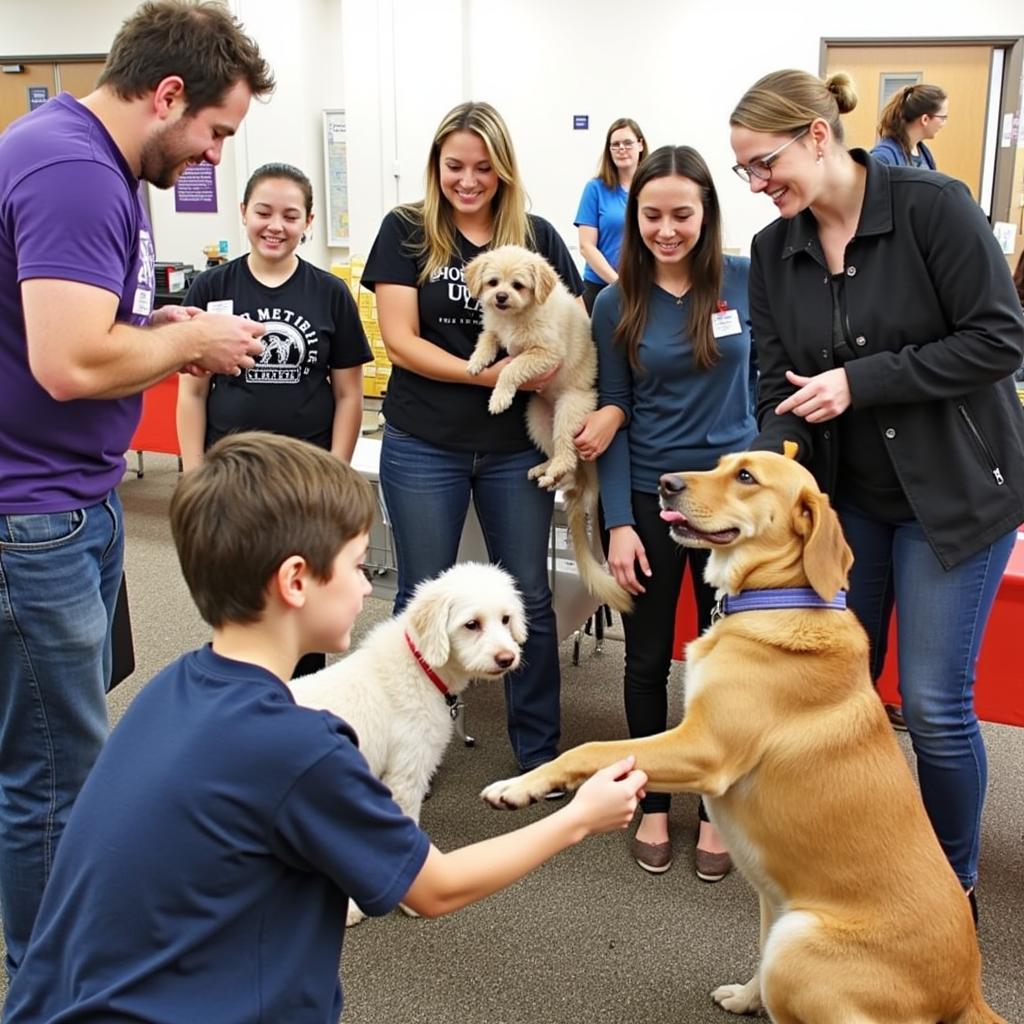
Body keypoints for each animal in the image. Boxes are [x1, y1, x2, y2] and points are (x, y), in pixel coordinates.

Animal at [481, 454, 1007, 1024]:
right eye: (719, 465)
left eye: (747, 477)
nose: (665, 483)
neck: (776, 597)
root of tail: (966, 993)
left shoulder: (703, 747)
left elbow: (590, 750)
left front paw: (519, 787)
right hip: (774, 908)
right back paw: (747, 996)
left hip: (796, 942)